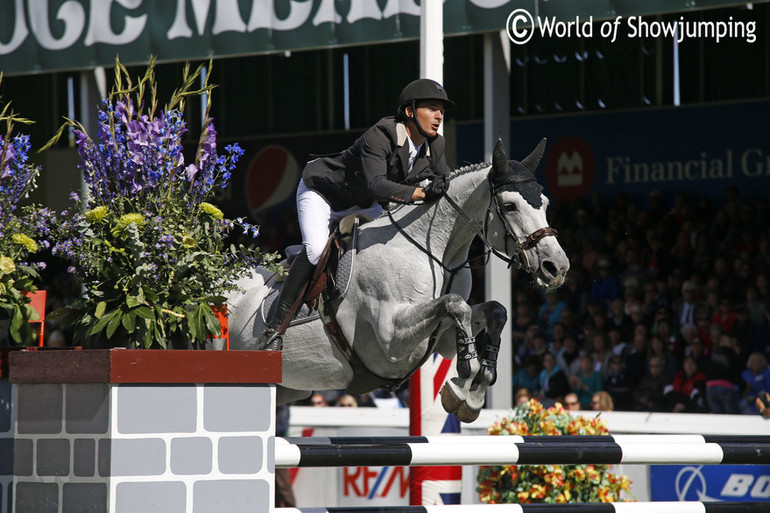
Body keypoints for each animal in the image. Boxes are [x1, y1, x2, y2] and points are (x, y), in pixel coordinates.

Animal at [225, 139, 568, 420]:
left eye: (545, 203)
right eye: (509, 205)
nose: (557, 267)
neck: (435, 251)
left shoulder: (442, 337)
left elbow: (493, 310)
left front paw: (473, 391)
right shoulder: (391, 340)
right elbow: (456, 304)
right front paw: (464, 377)